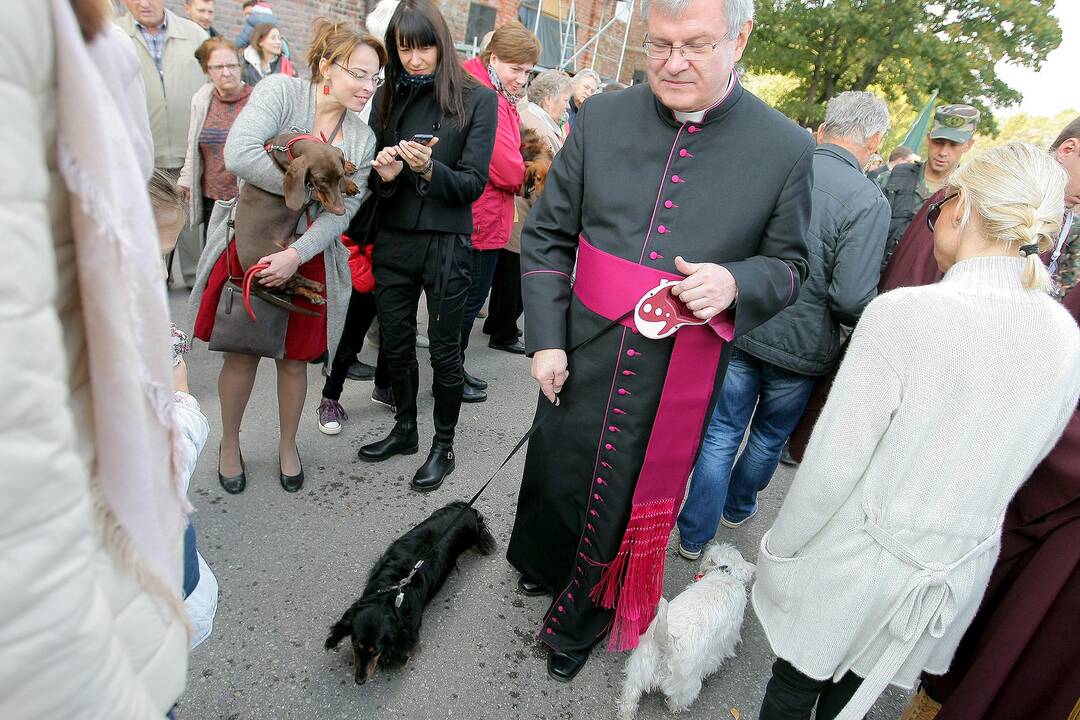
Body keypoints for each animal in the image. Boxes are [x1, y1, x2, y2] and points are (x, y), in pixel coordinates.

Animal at [622, 544, 756, 716]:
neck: (728, 574)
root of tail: (668, 643)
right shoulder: (729, 636)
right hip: (687, 681)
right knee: (680, 697)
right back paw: (675, 708)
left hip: (640, 667)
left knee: (630, 695)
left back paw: (625, 714)